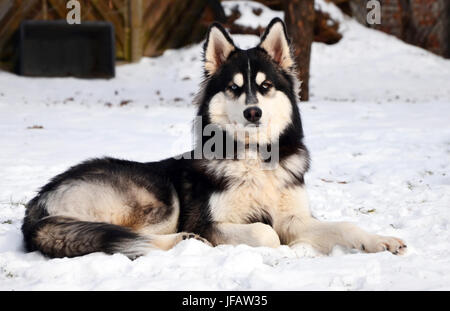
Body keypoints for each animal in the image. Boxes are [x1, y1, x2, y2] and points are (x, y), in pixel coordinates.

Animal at [22, 18, 408, 260]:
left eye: (265, 86)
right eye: (235, 88)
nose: (253, 112)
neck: (255, 159)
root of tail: (40, 200)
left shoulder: (294, 219)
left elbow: (345, 226)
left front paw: (380, 240)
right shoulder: (212, 222)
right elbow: (266, 233)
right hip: (159, 202)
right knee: (126, 238)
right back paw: (184, 240)